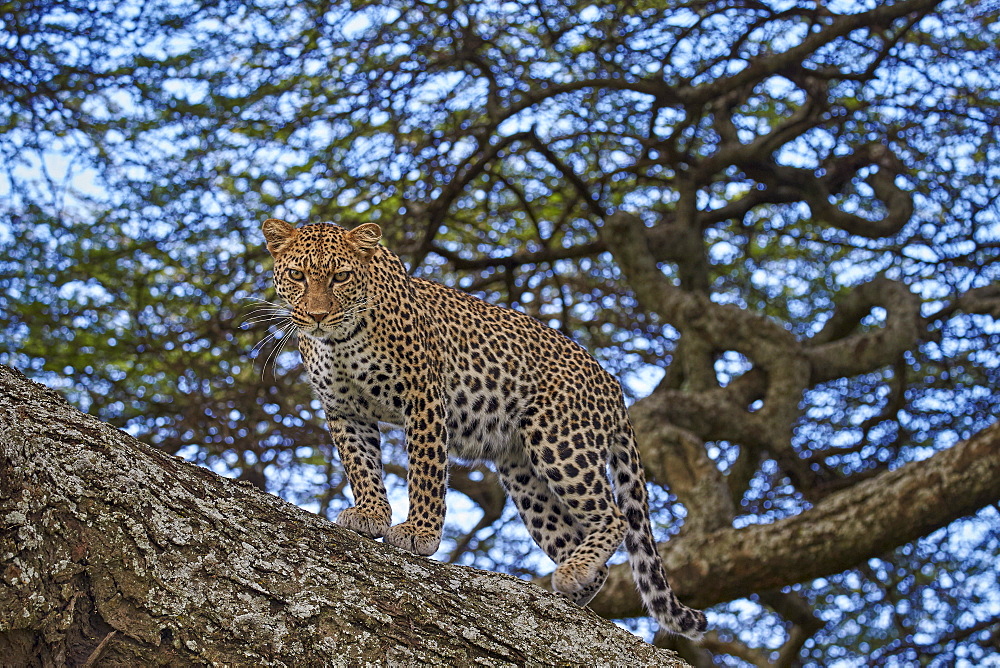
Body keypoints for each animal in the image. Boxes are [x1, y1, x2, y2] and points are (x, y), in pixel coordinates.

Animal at [262, 217, 708, 640]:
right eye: (298, 275)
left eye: (340, 276)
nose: (317, 316)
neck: (338, 341)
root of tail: (613, 383)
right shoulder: (344, 410)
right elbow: (360, 465)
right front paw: (370, 513)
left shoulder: (424, 395)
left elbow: (425, 470)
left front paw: (419, 532)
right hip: (523, 475)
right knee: (580, 544)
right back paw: (569, 589)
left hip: (560, 441)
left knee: (615, 516)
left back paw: (571, 572)